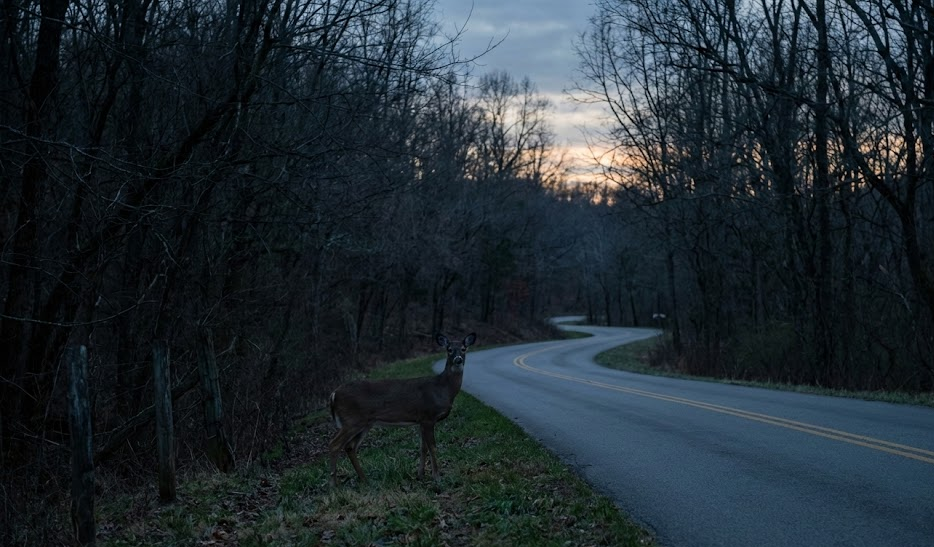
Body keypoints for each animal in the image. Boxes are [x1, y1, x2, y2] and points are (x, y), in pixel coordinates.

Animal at [328, 332, 477, 486]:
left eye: (464, 349)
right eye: (449, 349)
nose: (458, 359)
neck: (443, 389)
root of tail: (334, 394)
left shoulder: (421, 420)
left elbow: (423, 447)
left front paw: (420, 475)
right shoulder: (428, 417)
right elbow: (433, 447)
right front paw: (437, 477)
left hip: (364, 423)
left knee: (350, 447)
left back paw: (365, 480)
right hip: (352, 420)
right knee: (334, 444)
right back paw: (333, 483)